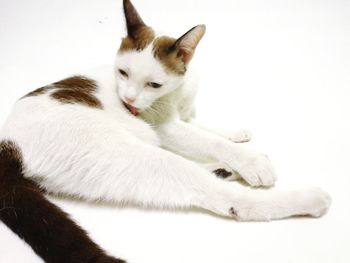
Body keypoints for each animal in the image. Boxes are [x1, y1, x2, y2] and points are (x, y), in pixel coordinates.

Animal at [0, 0, 330, 263]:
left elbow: (205, 129)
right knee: (227, 199)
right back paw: (308, 199)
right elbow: (208, 141)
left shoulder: (184, 115)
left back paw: (225, 170)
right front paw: (250, 160)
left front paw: (235, 133)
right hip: (132, 154)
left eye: (153, 83)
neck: (178, 92)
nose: (129, 100)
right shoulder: (165, 127)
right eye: (123, 72)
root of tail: (7, 144)